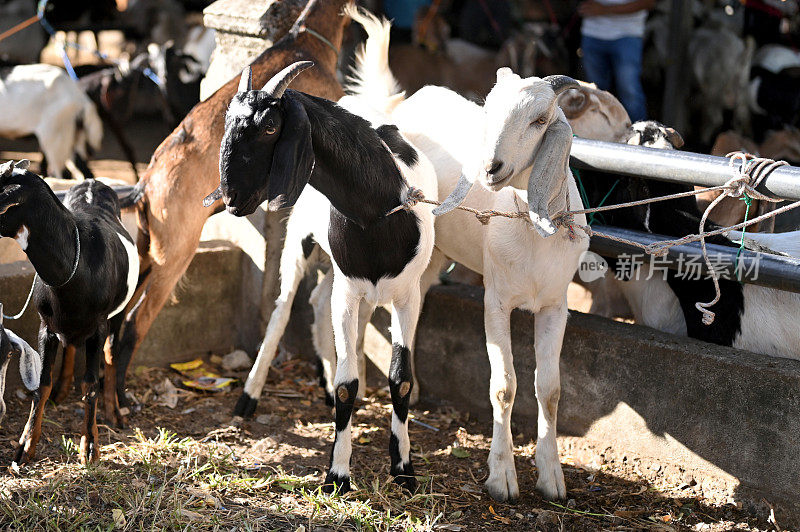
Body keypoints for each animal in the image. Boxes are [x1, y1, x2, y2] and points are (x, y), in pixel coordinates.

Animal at [0, 159, 138, 466]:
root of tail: (92, 182)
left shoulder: (98, 327)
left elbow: (90, 383)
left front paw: (90, 447)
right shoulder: (46, 327)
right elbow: (41, 383)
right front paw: (25, 447)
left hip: (117, 313)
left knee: (111, 353)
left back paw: (115, 411)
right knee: (71, 344)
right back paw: (61, 392)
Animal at [97, 0, 350, 426]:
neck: (306, 40)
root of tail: (145, 184)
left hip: (148, 255)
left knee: (113, 329)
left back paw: (110, 400)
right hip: (175, 257)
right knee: (132, 327)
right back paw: (123, 404)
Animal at [209, 63, 438, 494]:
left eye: (270, 127)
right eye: (227, 123)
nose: (231, 198)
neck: (378, 213)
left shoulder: (407, 295)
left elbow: (400, 380)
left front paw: (403, 468)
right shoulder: (348, 293)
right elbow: (350, 383)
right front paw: (338, 475)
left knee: (317, 300)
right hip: (300, 240)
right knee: (283, 311)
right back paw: (250, 395)